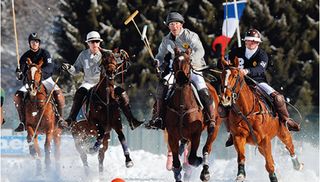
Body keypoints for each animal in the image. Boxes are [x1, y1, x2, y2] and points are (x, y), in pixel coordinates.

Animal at [165, 48, 222, 182]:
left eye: (189, 60)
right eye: (174, 60)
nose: (181, 78)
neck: (182, 106)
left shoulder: (195, 133)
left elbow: (192, 158)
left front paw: (198, 161)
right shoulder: (172, 135)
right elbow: (176, 161)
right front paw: (177, 174)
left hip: (215, 127)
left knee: (207, 148)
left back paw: (204, 171)